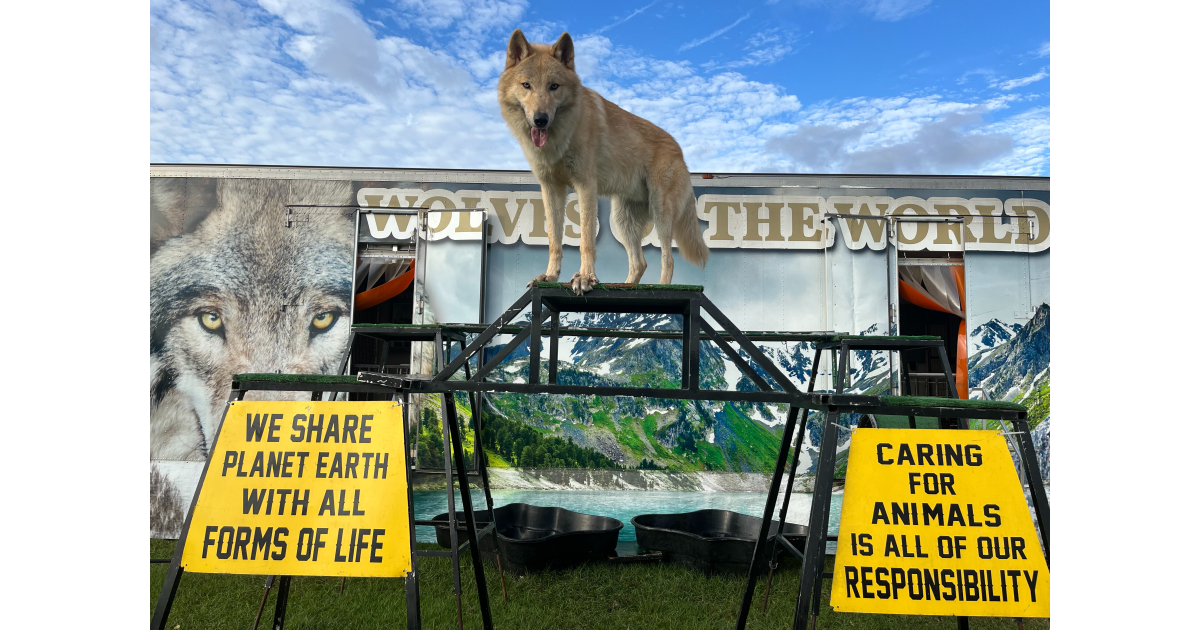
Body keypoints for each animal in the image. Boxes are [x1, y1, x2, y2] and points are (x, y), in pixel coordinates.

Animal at [498, 30, 709, 294]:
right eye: (526, 85)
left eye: (554, 86)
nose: (540, 120)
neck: (563, 134)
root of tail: (679, 150)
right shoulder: (551, 189)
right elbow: (554, 240)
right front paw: (550, 276)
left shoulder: (586, 186)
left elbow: (586, 240)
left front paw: (586, 278)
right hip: (623, 220)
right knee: (640, 262)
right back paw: (622, 286)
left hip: (661, 214)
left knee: (667, 259)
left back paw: (661, 288)